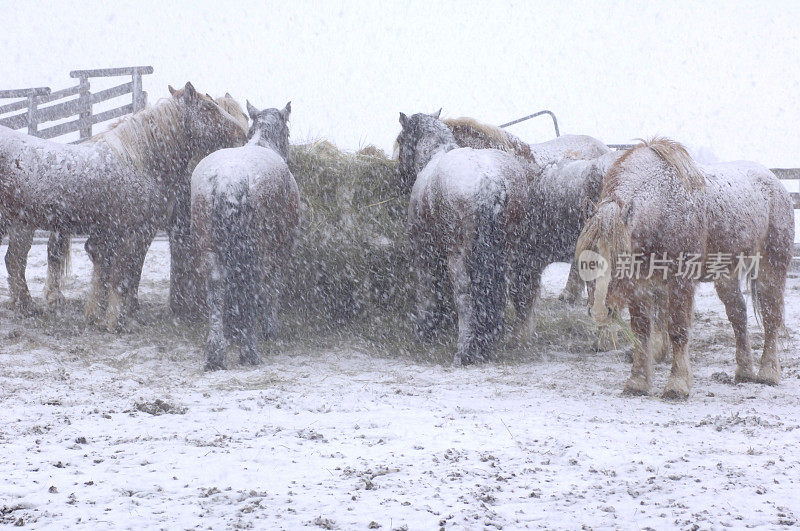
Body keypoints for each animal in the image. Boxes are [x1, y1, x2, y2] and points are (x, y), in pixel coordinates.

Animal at [0, 83, 247, 330]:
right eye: (209, 108)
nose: (242, 136)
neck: (138, 162)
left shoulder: (113, 233)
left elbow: (108, 272)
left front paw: (97, 315)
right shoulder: (129, 232)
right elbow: (121, 274)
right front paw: (115, 321)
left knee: (15, 261)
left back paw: (26, 307)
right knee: (16, 261)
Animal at [191, 102, 300, 372]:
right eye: (288, 132)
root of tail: (228, 178)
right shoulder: (281, 249)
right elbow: (272, 286)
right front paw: (270, 328)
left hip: (210, 248)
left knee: (217, 287)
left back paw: (215, 353)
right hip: (256, 250)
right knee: (252, 285)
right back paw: (249, 350)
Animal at [394, 110, 532, 364]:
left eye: (400, 139)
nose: (400, 178)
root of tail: (489, 180)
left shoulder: (422, 252)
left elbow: (426, 292)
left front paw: (424, 330)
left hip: (457, 257)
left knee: (465, 298)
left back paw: (465, 350)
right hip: (508, 252)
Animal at [576, 137, 792, 400]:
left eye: (622, 259)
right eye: (586, 260)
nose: (599, 311)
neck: (663, 206)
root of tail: (774, 182)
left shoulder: (681, 280)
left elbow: (677, 329)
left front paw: (677, 384)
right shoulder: (639, 285)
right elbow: (641, 331)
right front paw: (638, 382)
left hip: (771, 267)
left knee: (772, 317)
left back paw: (768, 373)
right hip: (726, 274)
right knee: (738, 315)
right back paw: (744, 371)